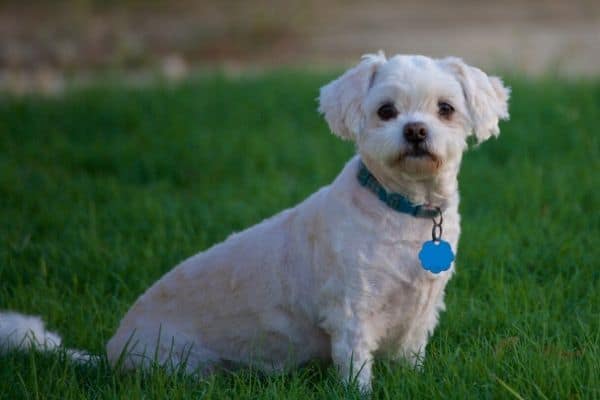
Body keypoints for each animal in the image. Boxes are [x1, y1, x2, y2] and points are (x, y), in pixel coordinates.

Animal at [0, 53, 508, 390]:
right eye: (386, 111)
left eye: (445, 109)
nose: (416, 131)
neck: (402, 210)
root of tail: (111, 351)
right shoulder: (351, 315)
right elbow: (357, 374)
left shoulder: (421, 313)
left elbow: (411, 361)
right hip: (176, 361)